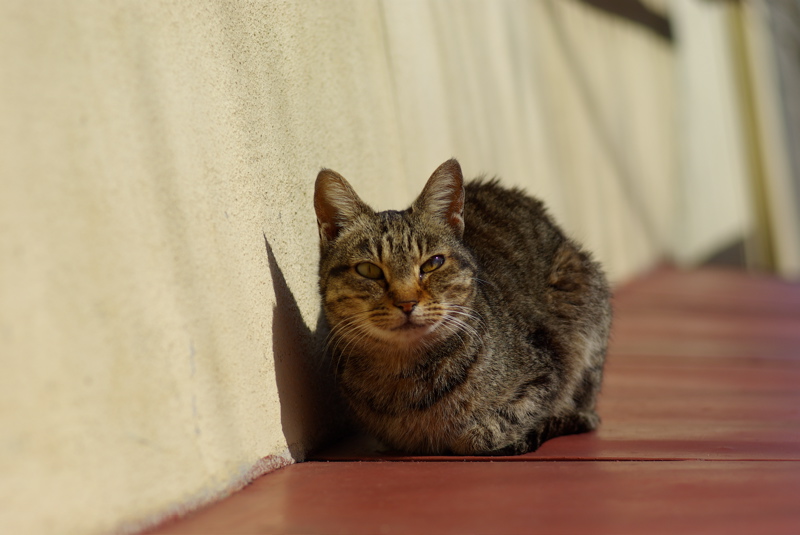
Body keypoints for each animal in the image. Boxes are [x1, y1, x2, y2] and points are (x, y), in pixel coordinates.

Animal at [314, 159, 612, 456]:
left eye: (433, 263)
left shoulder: (548, 370)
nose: (407, 302)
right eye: (369, 270)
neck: (405, 375)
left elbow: (483, 434)